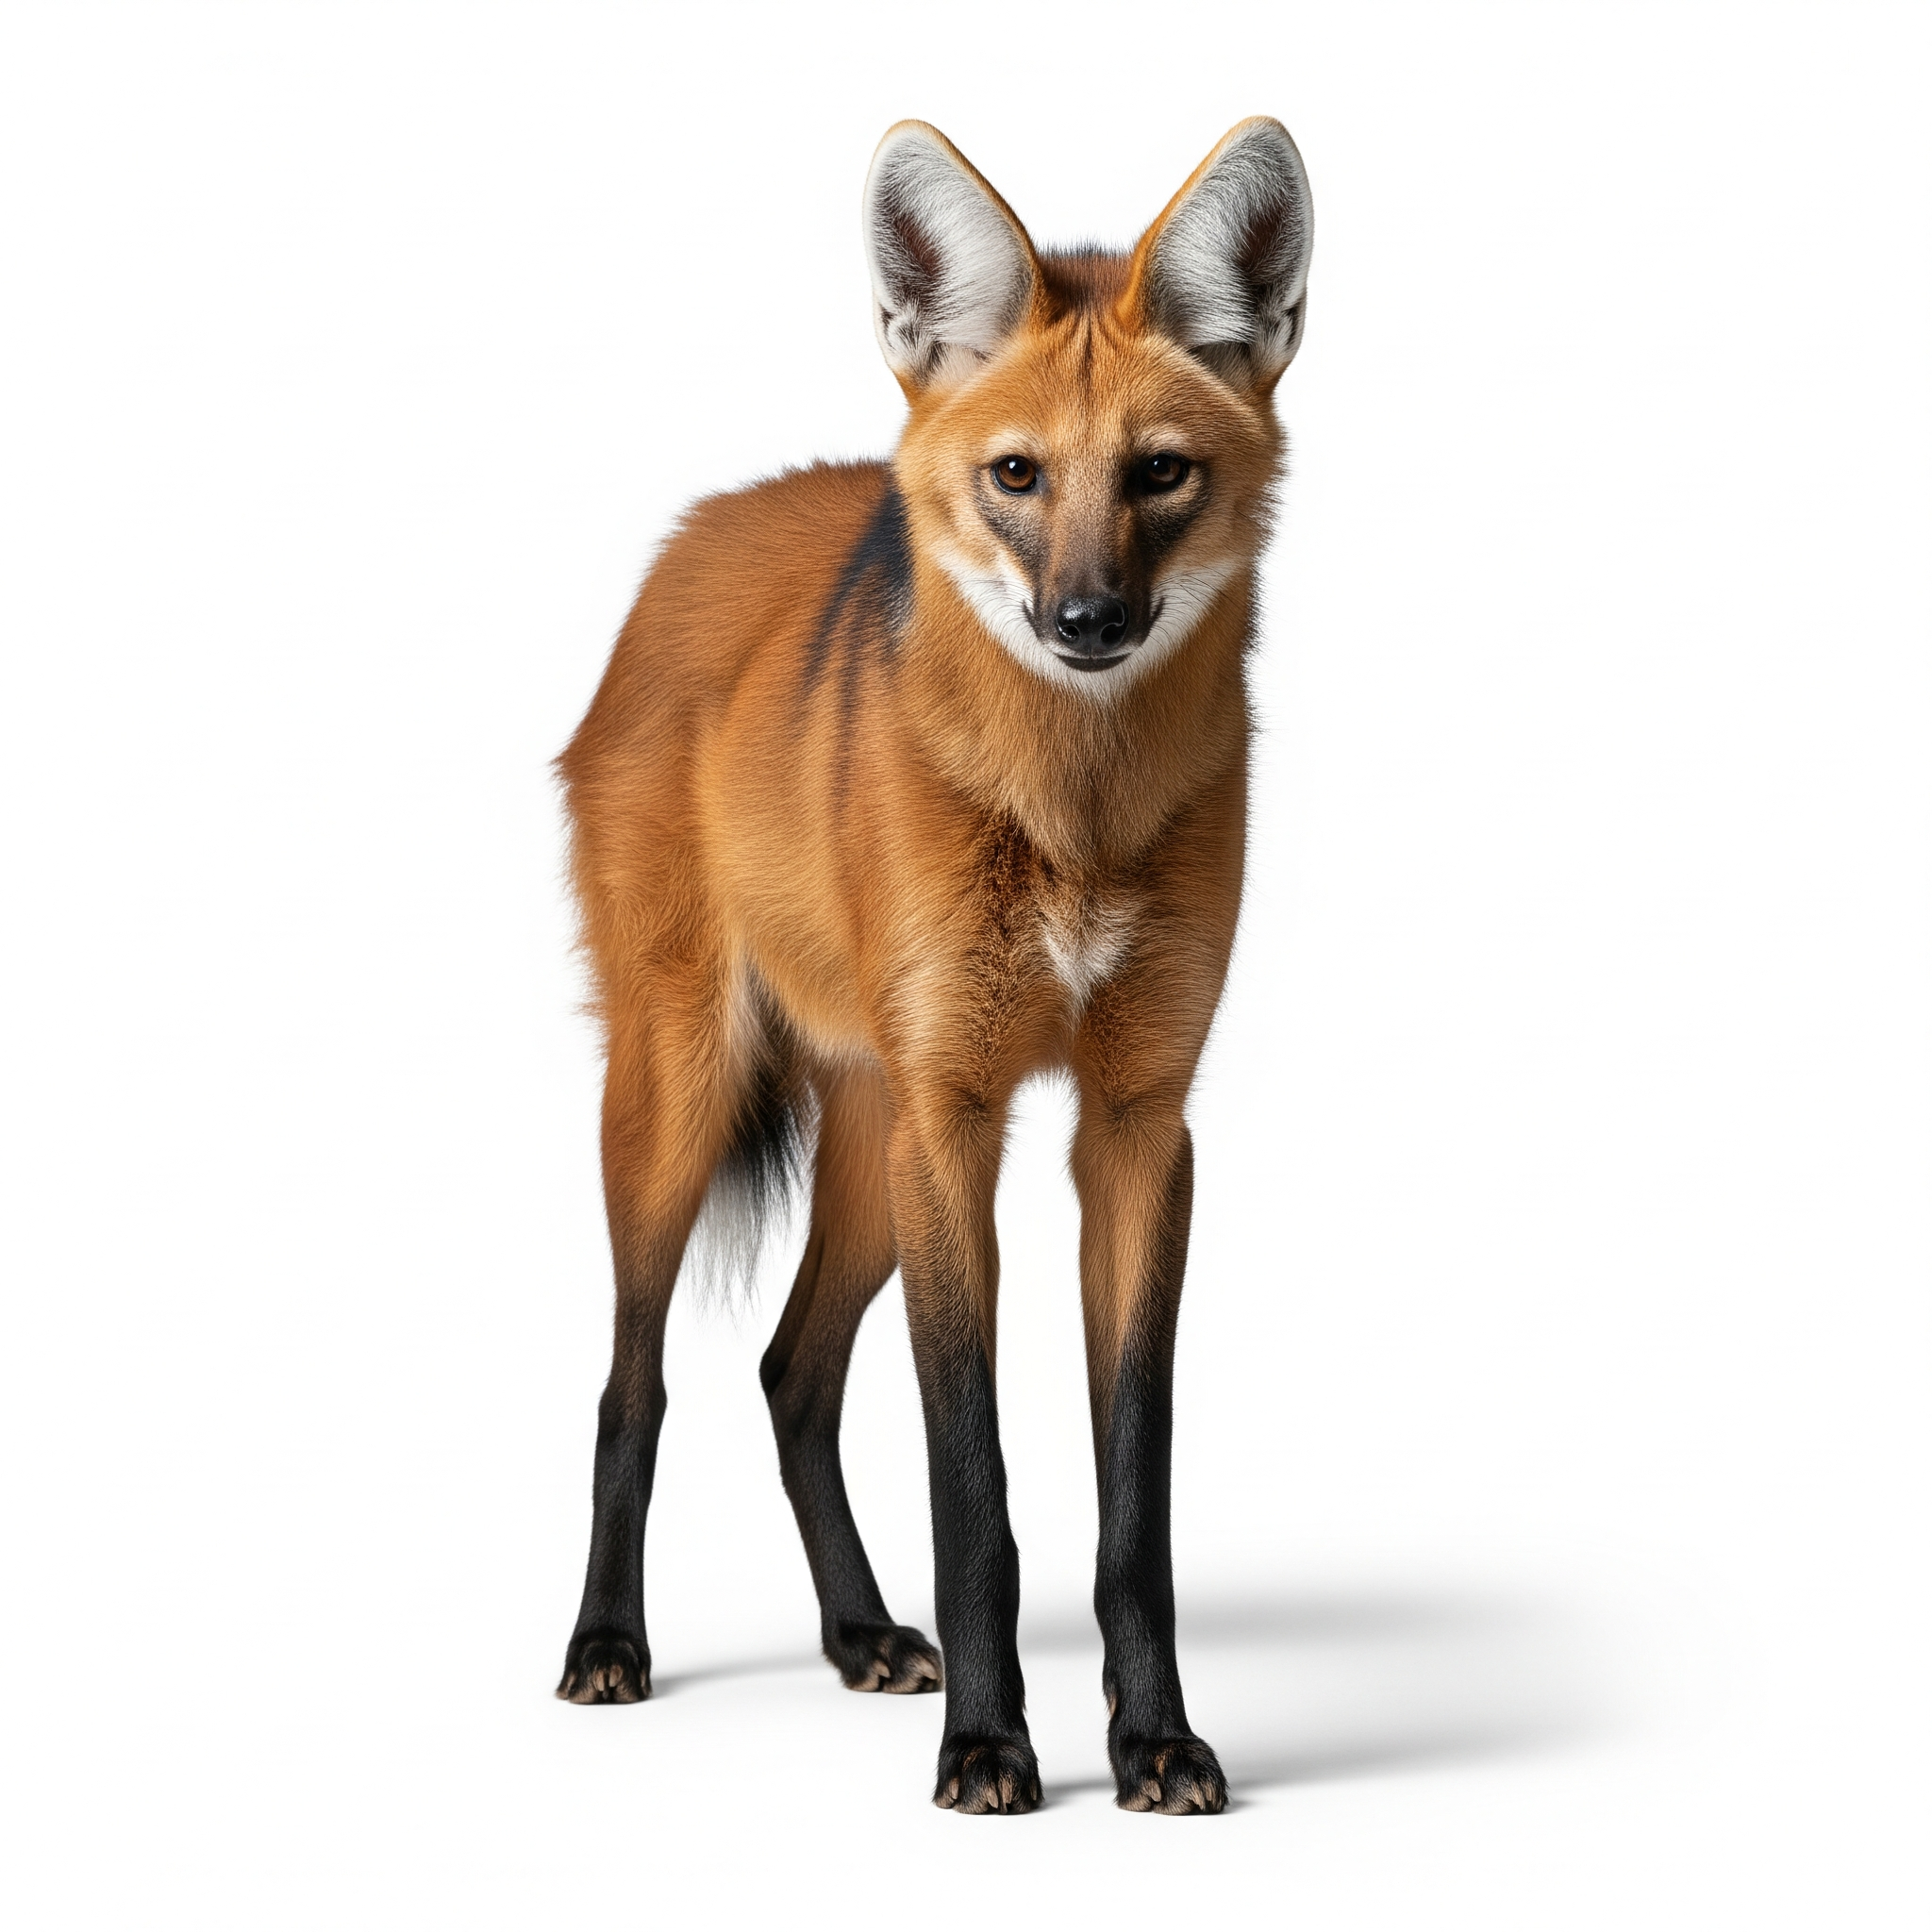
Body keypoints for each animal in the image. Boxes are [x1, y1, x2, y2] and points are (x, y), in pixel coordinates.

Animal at [555, 116, 1313, 1814]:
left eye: (1160, 473)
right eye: (1017, 474)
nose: (1086, 616)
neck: (1070, 816)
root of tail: (688, 536)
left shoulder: (1134, 1123)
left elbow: (1131, 1503)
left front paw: (1153, 1741)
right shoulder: (957, 1114)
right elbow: (974, 1485)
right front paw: (987, 1745)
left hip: (865, 1145)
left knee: (791, 1371)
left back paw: (853, 1632)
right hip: (689, 1106)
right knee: (636, 1385)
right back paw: (607, 1645)